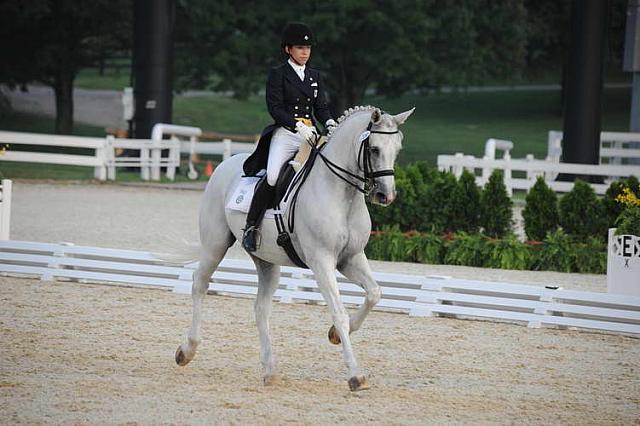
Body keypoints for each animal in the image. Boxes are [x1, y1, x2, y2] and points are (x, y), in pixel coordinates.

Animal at [175, 105, 416, 392]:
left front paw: (335, 335)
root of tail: (226, 164)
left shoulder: (351, 258)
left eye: (398, 149)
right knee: (200, 284)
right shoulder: (321, 261)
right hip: (215, 244)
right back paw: (186, 351)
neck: (341, 195)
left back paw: (270, 371)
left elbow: (374, 294)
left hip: (266, 260)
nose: (386, 196)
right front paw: (356, 375)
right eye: (375, 149)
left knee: (261, 308)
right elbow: (339, 312)